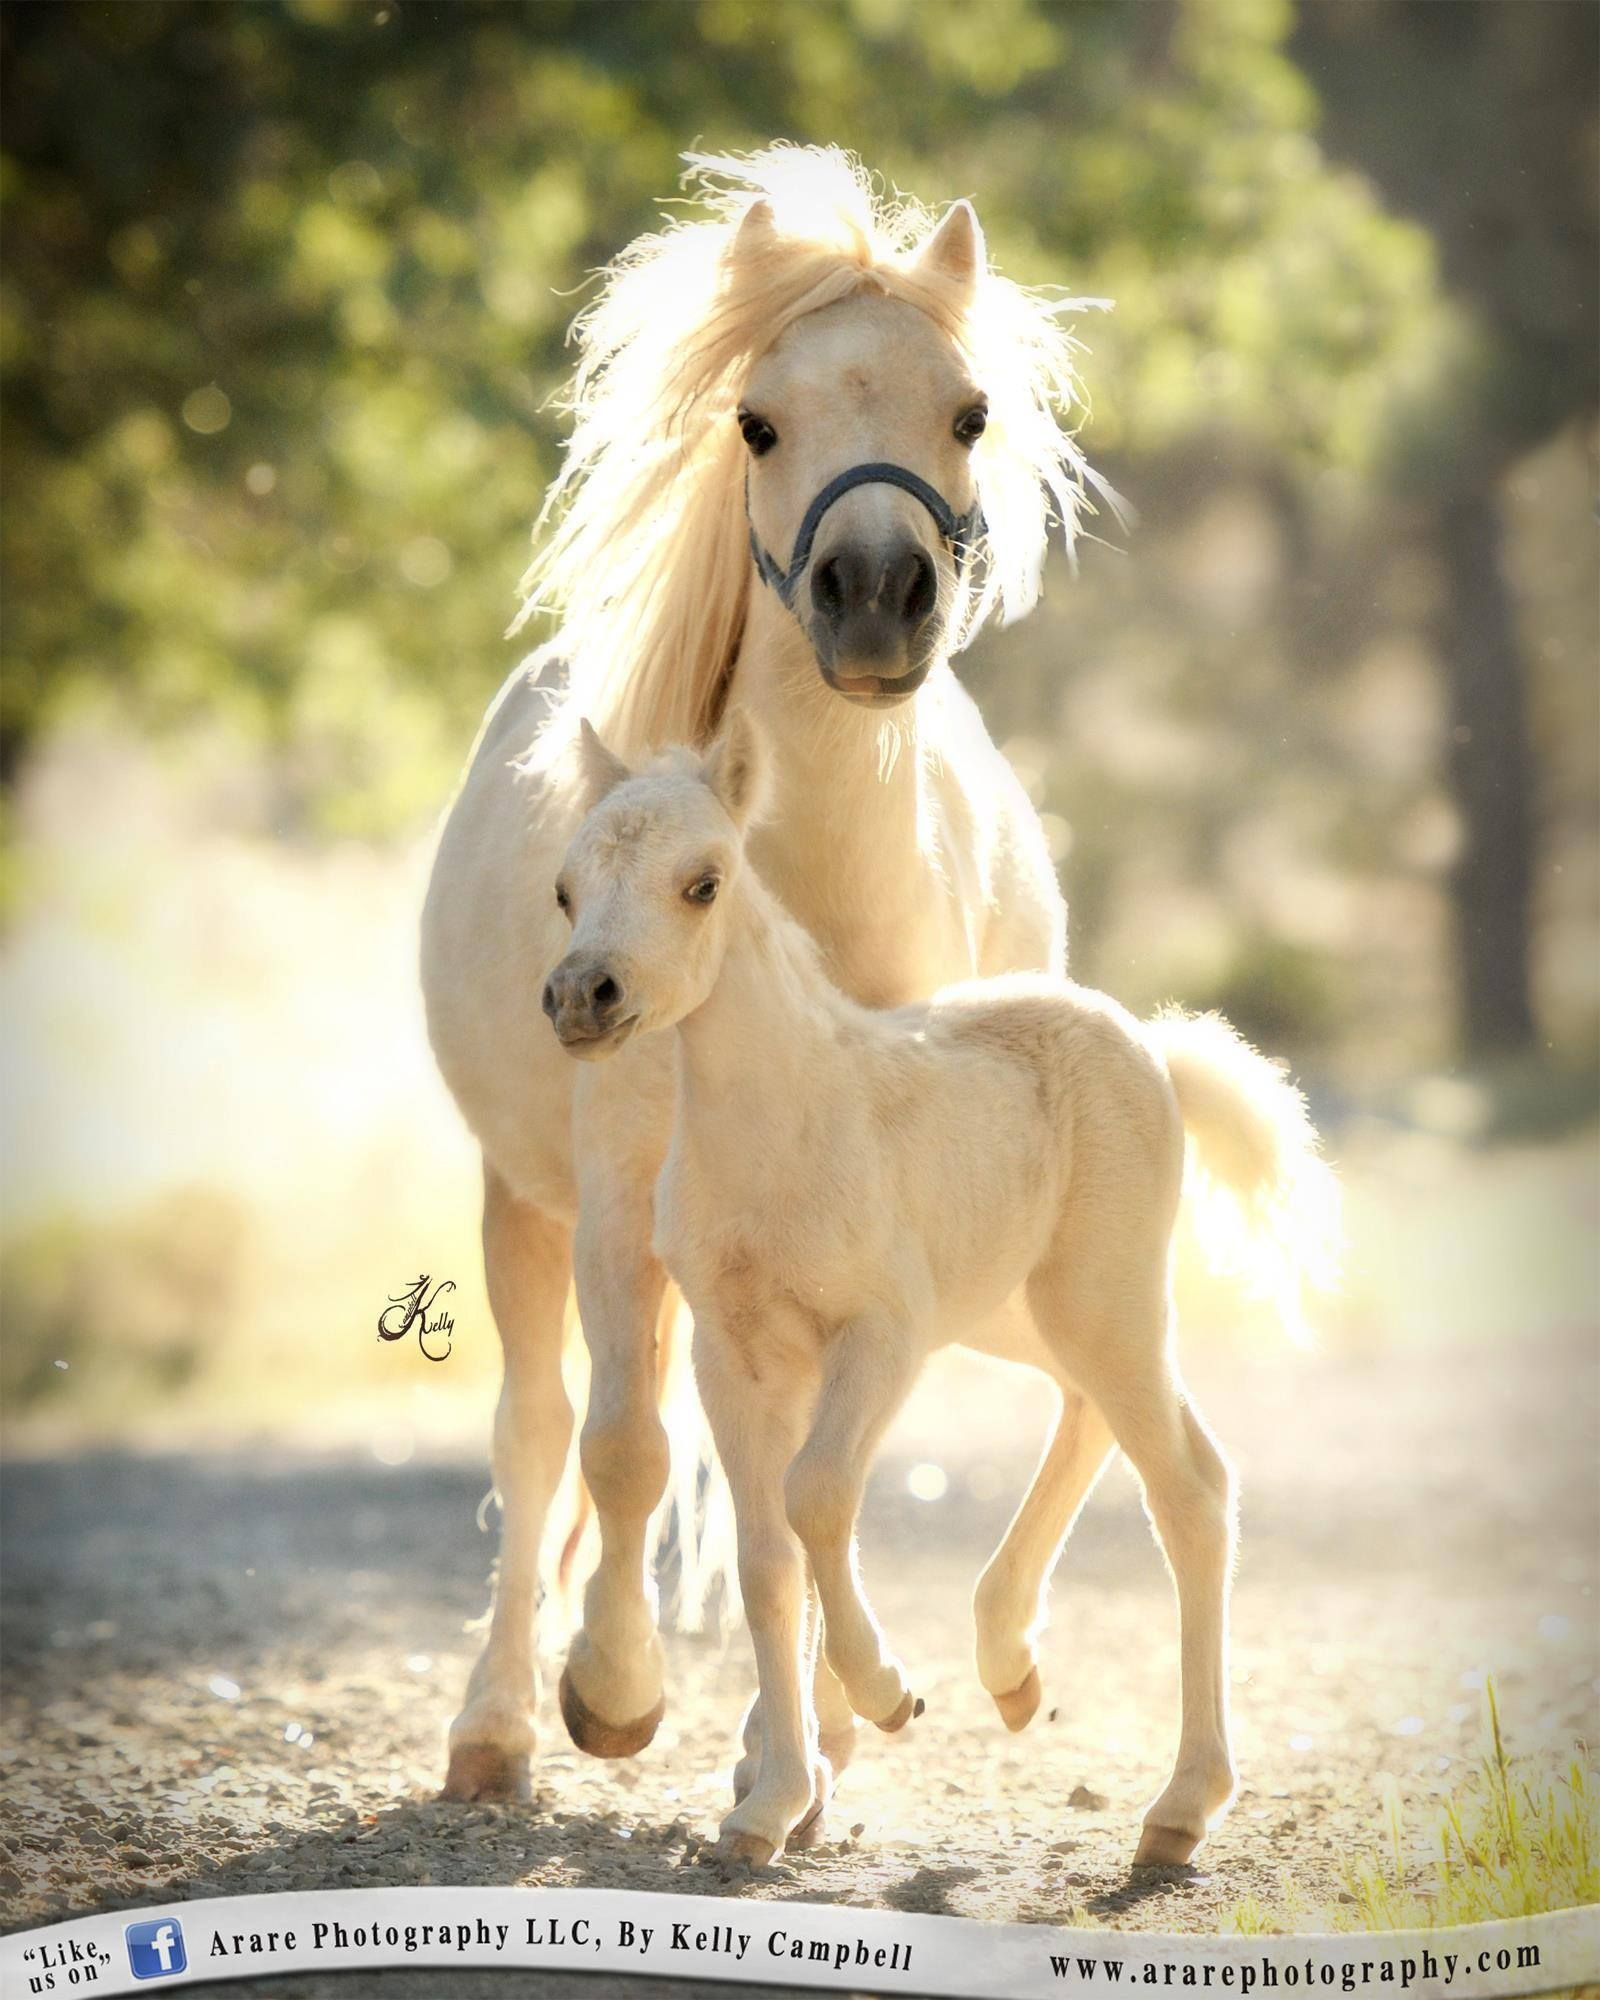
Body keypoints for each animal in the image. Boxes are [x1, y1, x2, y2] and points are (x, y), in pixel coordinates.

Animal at [422, 145, 1112, 1816]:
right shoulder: (623, 1195)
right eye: (756, 420)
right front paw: (613, 1696)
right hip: (521, 1198)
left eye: (968, 411)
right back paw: (498, 1721)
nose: (874, 595)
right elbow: (622, 1450)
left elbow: (801, 1479)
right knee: (538, 1433)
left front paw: (807, 1737)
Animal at [552, 720, 1336, 1872]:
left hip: (1103, 1297)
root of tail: (1152, 1046)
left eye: (703, 882)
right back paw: (1009, 1662)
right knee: (1095, 1414)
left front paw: (887, 1694)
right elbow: (765, 1559)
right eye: (564, 888)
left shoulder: (883, 1332)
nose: (580, 998)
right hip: (1025, 1309)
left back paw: (1180, 1806)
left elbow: (817, 1493)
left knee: (1189, 1484)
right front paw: (767, 1808)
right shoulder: (733, 1350)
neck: (784, 1127)